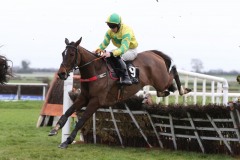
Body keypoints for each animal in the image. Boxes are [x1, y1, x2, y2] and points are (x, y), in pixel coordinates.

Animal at [48, 37, 191, 148]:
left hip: (161, 79)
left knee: (173, 74)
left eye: (72, 54)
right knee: (165, 90)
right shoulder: (83, 97)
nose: (61, 74)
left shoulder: (96, 101)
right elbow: (67, 112)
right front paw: (55, 129)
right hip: (160, 83)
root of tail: (154, 54)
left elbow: (82, 120)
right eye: (63, 53)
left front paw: (67, 141)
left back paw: (183, 89)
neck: (96, 70)